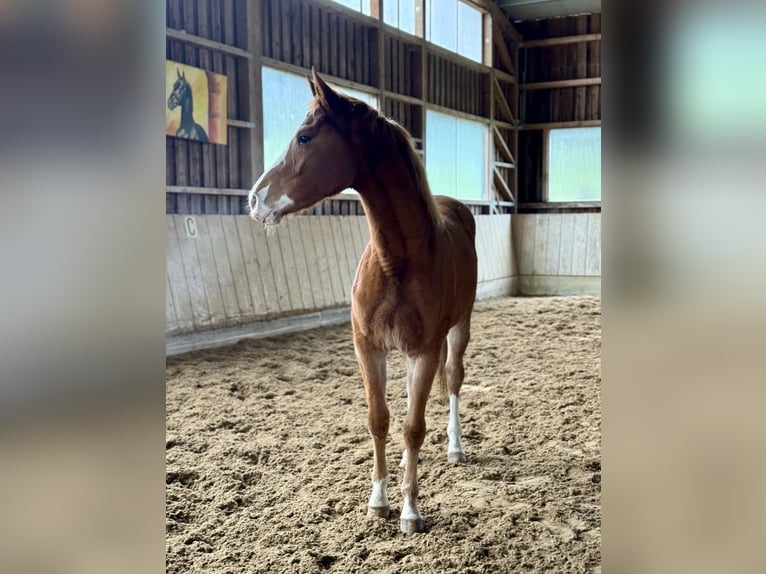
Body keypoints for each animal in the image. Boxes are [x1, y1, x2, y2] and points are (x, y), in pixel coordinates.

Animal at [248, 70, 478, 534]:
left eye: (304, 137)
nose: (254, 199)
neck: (397, 262)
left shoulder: (423, 352)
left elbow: (412, 427)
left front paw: (410, 511)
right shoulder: (369, 349)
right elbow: (379, 420)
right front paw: (378, 501)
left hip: (460, 327)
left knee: (453, 379)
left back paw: (456, 447)